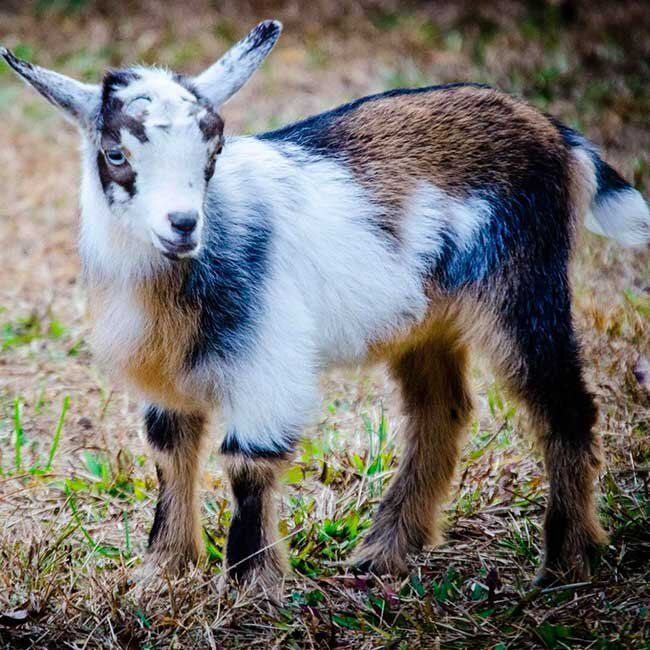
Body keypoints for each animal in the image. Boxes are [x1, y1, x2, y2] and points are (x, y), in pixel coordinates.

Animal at [2, 20, 648, 587]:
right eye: (115, 154)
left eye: (213, 150)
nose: (183, 224)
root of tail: (553, 131)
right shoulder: (166, 375)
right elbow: (170, 452)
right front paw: (163, 573)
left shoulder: (265, 357)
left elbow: (248, 462)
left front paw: (250, 587)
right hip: (427, 316)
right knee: (442, 409)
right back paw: (386, 551)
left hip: (525, 284)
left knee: (563, 405)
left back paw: (567, 563)